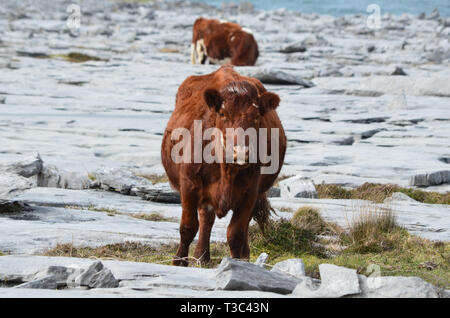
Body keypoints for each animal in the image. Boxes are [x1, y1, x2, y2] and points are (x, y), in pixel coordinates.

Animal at [162, 65, 286, 266]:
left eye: (256, 117)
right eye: (222, 114)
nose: (241, 152)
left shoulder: (250, 192)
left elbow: (236, 233)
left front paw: (239, 264)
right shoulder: (189, 185)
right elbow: (188, 227)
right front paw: (179, 261)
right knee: (206, 219)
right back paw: (201, 256)